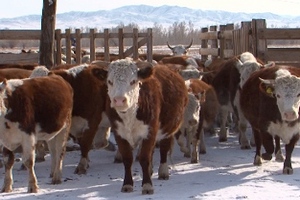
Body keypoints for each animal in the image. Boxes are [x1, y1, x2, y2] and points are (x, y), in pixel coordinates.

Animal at [99, 57, 186, 194]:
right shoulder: (119, 133)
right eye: (109, 81)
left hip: (168, 129)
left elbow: (144, 158)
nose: (119, 100)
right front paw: (127, 184)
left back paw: (163, 172)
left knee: (164, 149)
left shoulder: (150, 132)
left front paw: (147, 185)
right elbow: (127, 158)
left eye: (133, 81)